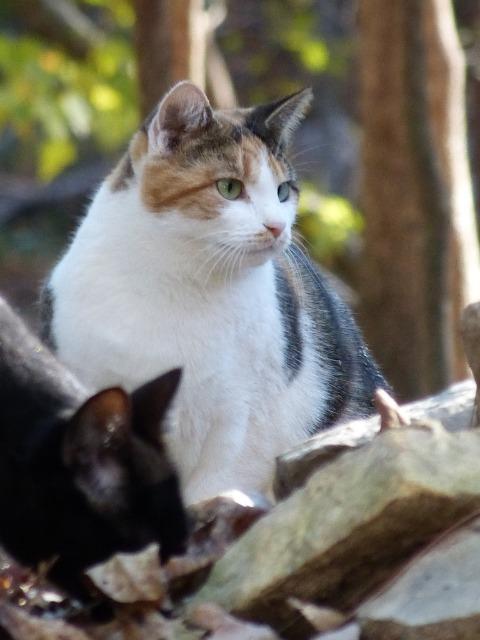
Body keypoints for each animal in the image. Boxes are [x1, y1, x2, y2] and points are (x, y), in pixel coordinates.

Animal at [43, 81, 388, 504]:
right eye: (229, 187)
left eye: (283, 191)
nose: (277, 227)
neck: (175, 281)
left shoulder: (243, 419)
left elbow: (217, 484)